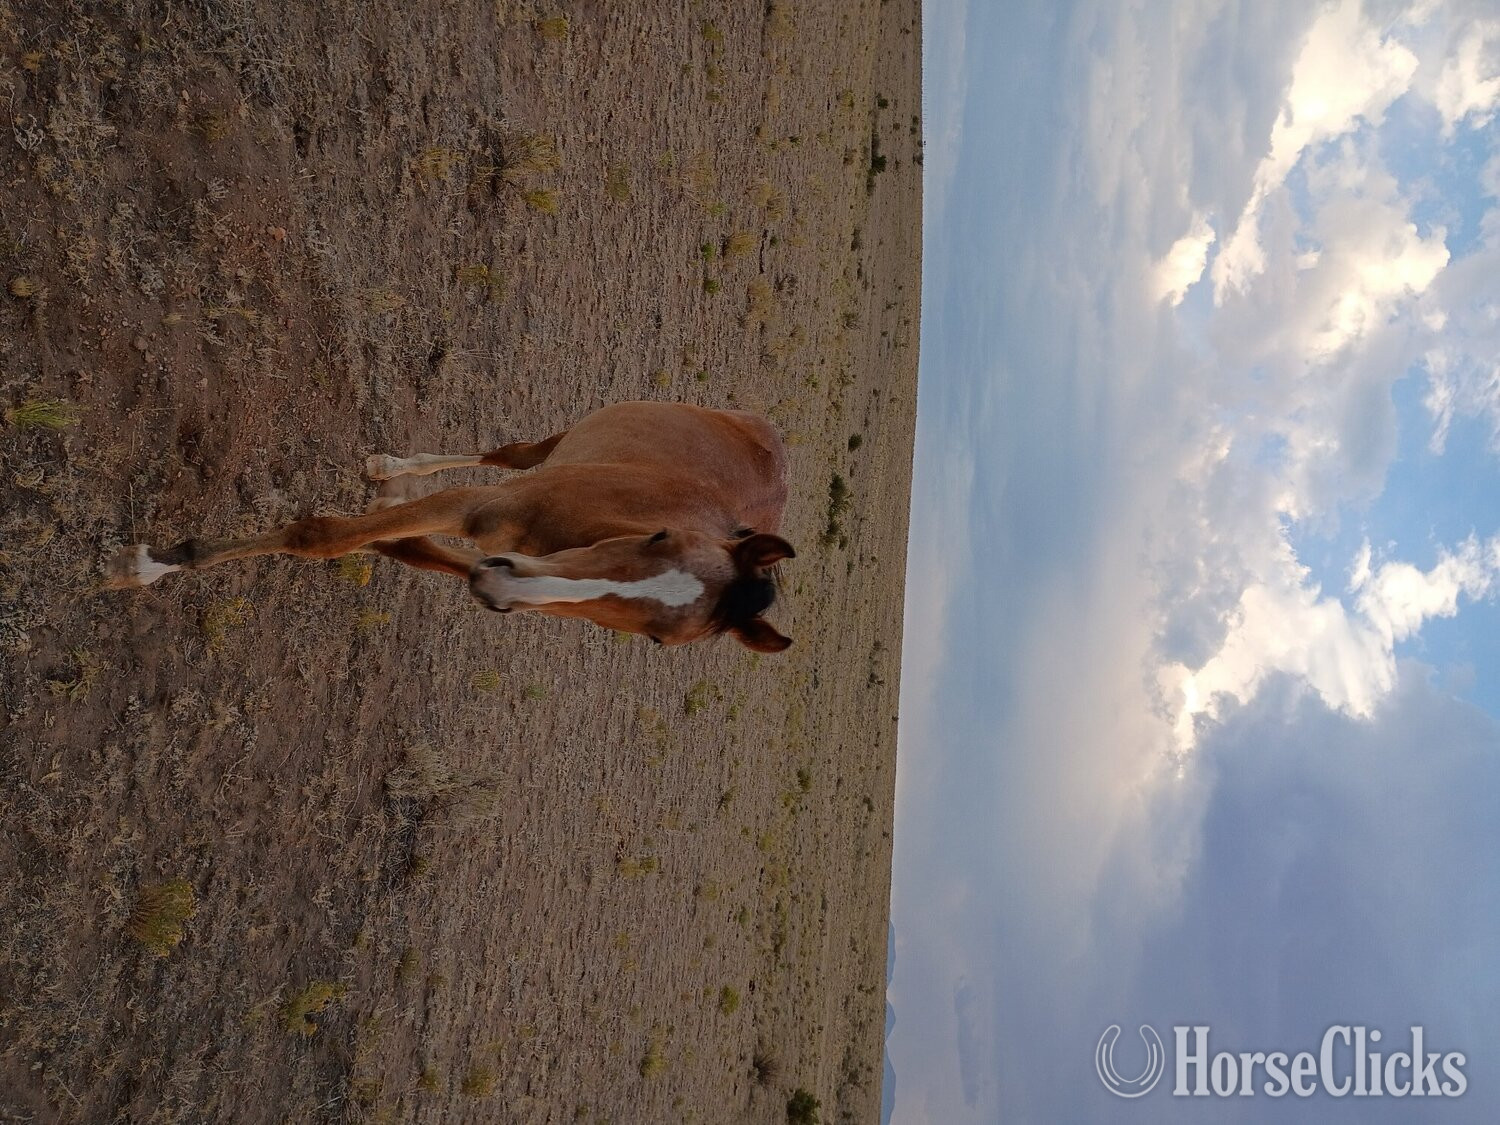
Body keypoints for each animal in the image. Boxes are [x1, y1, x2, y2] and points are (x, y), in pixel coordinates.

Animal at [106, 401, 796, 651]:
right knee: (508, 453)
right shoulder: (480, 513)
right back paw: (392, 465)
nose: (502, 584)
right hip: (552, 444)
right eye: (660, 537)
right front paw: (152, 564)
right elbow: (321, 536)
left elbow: (397, 543)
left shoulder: (495, 563)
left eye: (659, 640)